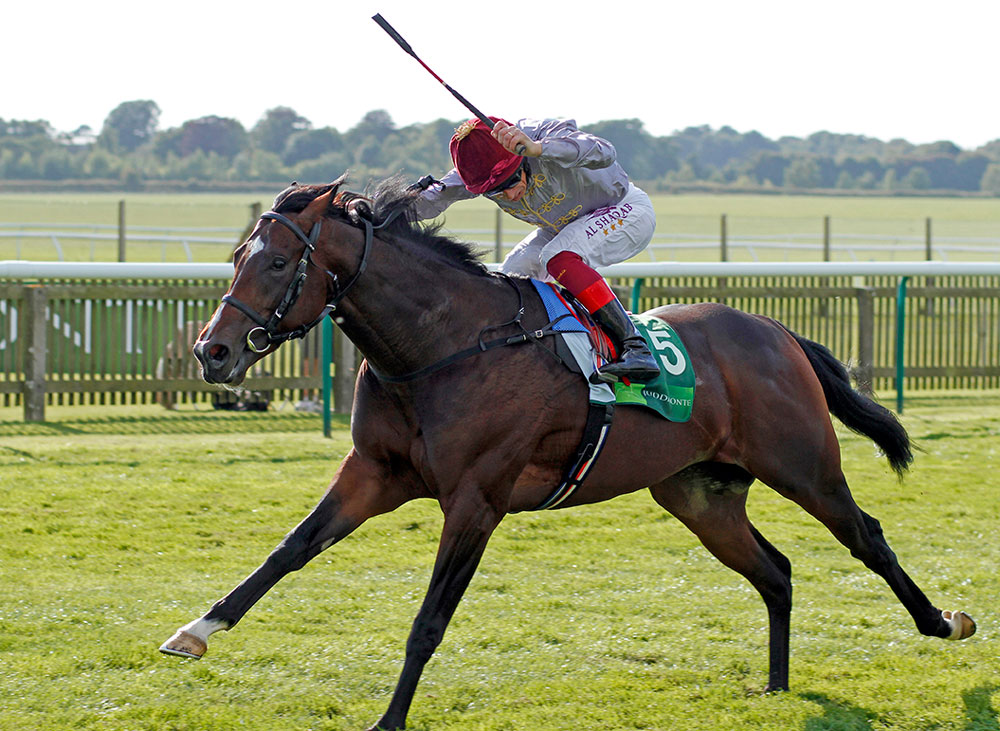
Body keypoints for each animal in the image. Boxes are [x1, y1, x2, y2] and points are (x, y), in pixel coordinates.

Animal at [162, 177, 976, 731]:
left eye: (274, 263)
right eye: (236, 255)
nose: (212, 351)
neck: (443, 344)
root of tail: (776, 332)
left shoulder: (477, 500)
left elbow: (429, 618)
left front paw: (389, 718)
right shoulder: (373, 474)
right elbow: (288, 550)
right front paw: (195, 632)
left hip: (804, 466)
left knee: (868, 537)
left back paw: (942, 623)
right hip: (698, 494)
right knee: (775, 570)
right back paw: (775, 684)